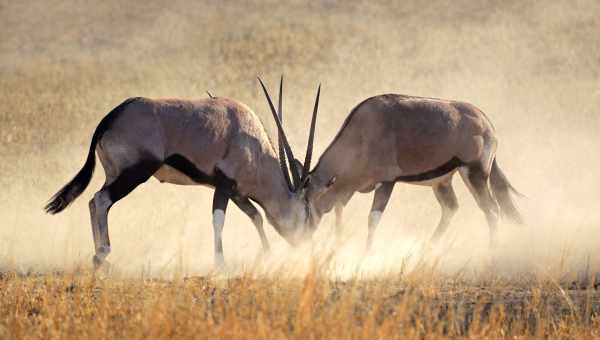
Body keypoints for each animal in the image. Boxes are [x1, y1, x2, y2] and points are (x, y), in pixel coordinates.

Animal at [45, 78, 324, 270]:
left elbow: (255, 216)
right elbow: (219, 219)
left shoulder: (237, 192)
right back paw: (102, 254)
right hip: (135, 174)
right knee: (101, 200)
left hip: (115, 174)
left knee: (94, 202)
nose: (305, 244)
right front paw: (220, 263)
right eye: (307, 212)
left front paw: (267, 254)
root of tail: (110, 117)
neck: (252, 144)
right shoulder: (224, 185)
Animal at [302, 93, 524, 250]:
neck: (362, 131)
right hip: (442, 181)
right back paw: (428, 248)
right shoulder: (348, 187)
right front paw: (338, 246)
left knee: (491, 209)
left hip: (474, 172)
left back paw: (491, 250)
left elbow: (373, 218)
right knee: (451, 207)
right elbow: (339, 209)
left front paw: (366, 254)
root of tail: (486, 122)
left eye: (306, 204)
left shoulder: (387, 181)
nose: (301, 237)